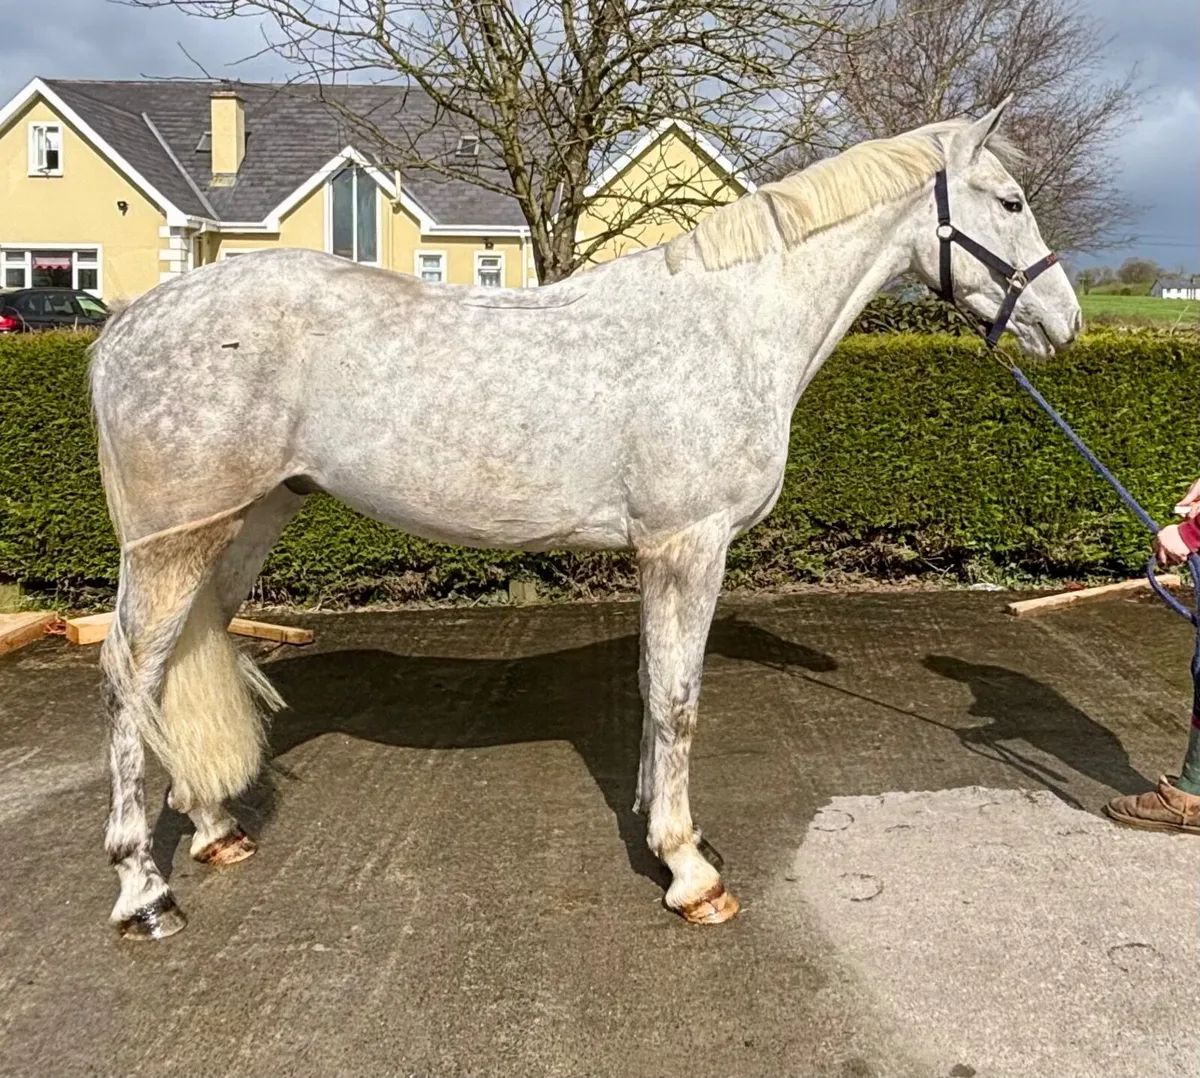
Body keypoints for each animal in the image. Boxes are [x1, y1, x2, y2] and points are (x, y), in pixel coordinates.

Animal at [90, 98, 1081, 939]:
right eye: (1009, 200)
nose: (1064, 322)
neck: (730, 326)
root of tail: (125, 328)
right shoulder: (689, 544)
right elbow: (678, 698)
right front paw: (690, 874)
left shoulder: (663, 553)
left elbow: (653, 689)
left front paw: (666, 828)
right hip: (175, 541)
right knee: (129, 674)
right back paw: (144, 890)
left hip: (247, 520)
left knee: (179, 665)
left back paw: (215, 828)